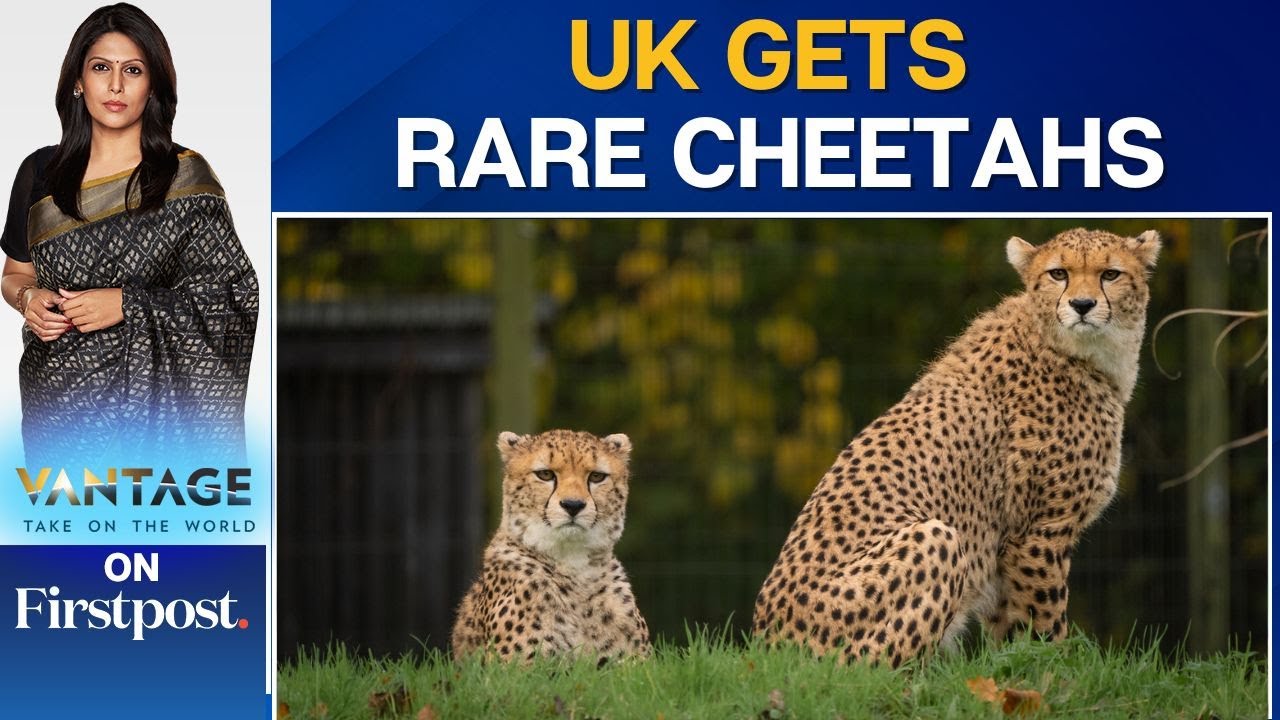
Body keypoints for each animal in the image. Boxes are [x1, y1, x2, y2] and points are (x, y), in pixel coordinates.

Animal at [752, 227, 1161, 667]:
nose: (1082, 305)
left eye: (1110, 274)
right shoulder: (1038, 532)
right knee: (869, 669)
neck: (1076, 351)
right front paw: (1057, 669)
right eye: (1058, 273)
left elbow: (1009, 632)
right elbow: (1046, 623)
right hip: (935, 538)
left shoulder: (1005, 550)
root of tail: (766, 645)